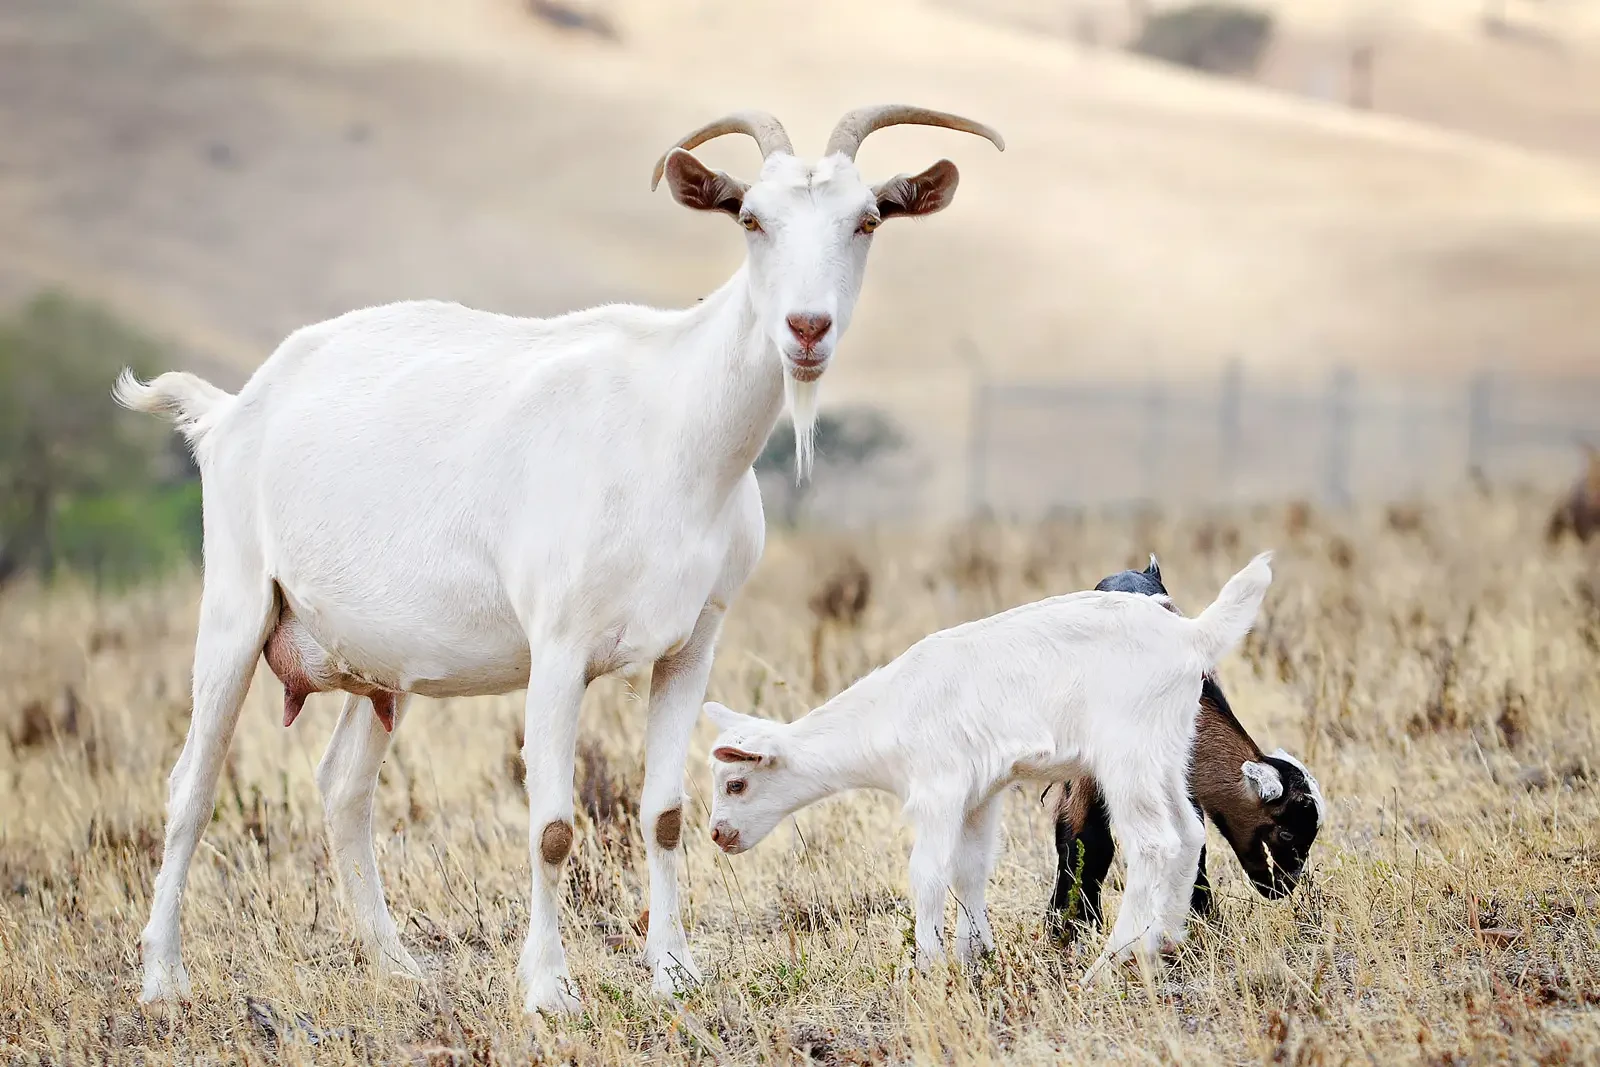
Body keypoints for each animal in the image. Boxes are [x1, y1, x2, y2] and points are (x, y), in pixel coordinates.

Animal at [112, 105, 1003, 1014]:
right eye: (751, 219)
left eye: (866, 221)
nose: (807, 329)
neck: (673, 428)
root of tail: (230, 411)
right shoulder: (559, 645)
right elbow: (551, 825)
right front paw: (549, 989)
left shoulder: (694, 642)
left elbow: (664, 813)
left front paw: (673, 970)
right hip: (237, 603)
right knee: (191, 786)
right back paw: (163, 976)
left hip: (381, 664)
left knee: (341, 788)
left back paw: (396, 965)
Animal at [705, 553, 1275, 983]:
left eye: (735, 783)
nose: (717, 835)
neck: (887, 715)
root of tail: (1191, 636)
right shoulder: (980, 795)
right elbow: (970, 869)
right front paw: (974, 955)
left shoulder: (937, 789)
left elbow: (927, 872)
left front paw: (928, 966)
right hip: (1167, 749)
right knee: (1191, 831)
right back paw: (1167, 943)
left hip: (1127, 755)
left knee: (1154, 842)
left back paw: (1108, 965)